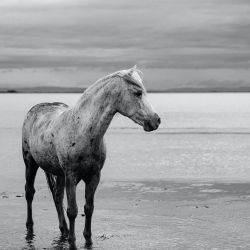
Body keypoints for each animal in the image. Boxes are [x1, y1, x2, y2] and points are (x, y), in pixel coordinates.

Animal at [21, 65, 160, 249]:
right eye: (137, 92)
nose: (156, 120)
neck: (83, 129)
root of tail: (35, 109)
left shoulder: (94, 176)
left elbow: (89, 208)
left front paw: (88, 239)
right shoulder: (71, 176)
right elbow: (72, 210)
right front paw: (73, 243)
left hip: (59, 173)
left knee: (57, 196)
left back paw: (64, 230)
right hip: (30, 162)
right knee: (30, 193)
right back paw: (30, 228)